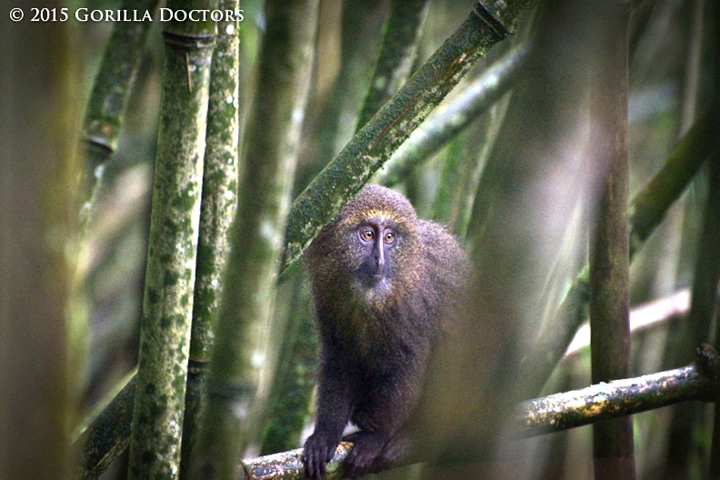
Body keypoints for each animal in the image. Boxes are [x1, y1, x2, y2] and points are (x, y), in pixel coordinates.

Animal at [302, 184, 470, 479]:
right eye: (368, 234)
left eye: (390, 237)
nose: (380, 260)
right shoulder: (327, 297)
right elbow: (339, 360)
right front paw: (325, 435)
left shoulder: (411, 306)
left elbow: (408, 365)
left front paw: (376, 437)